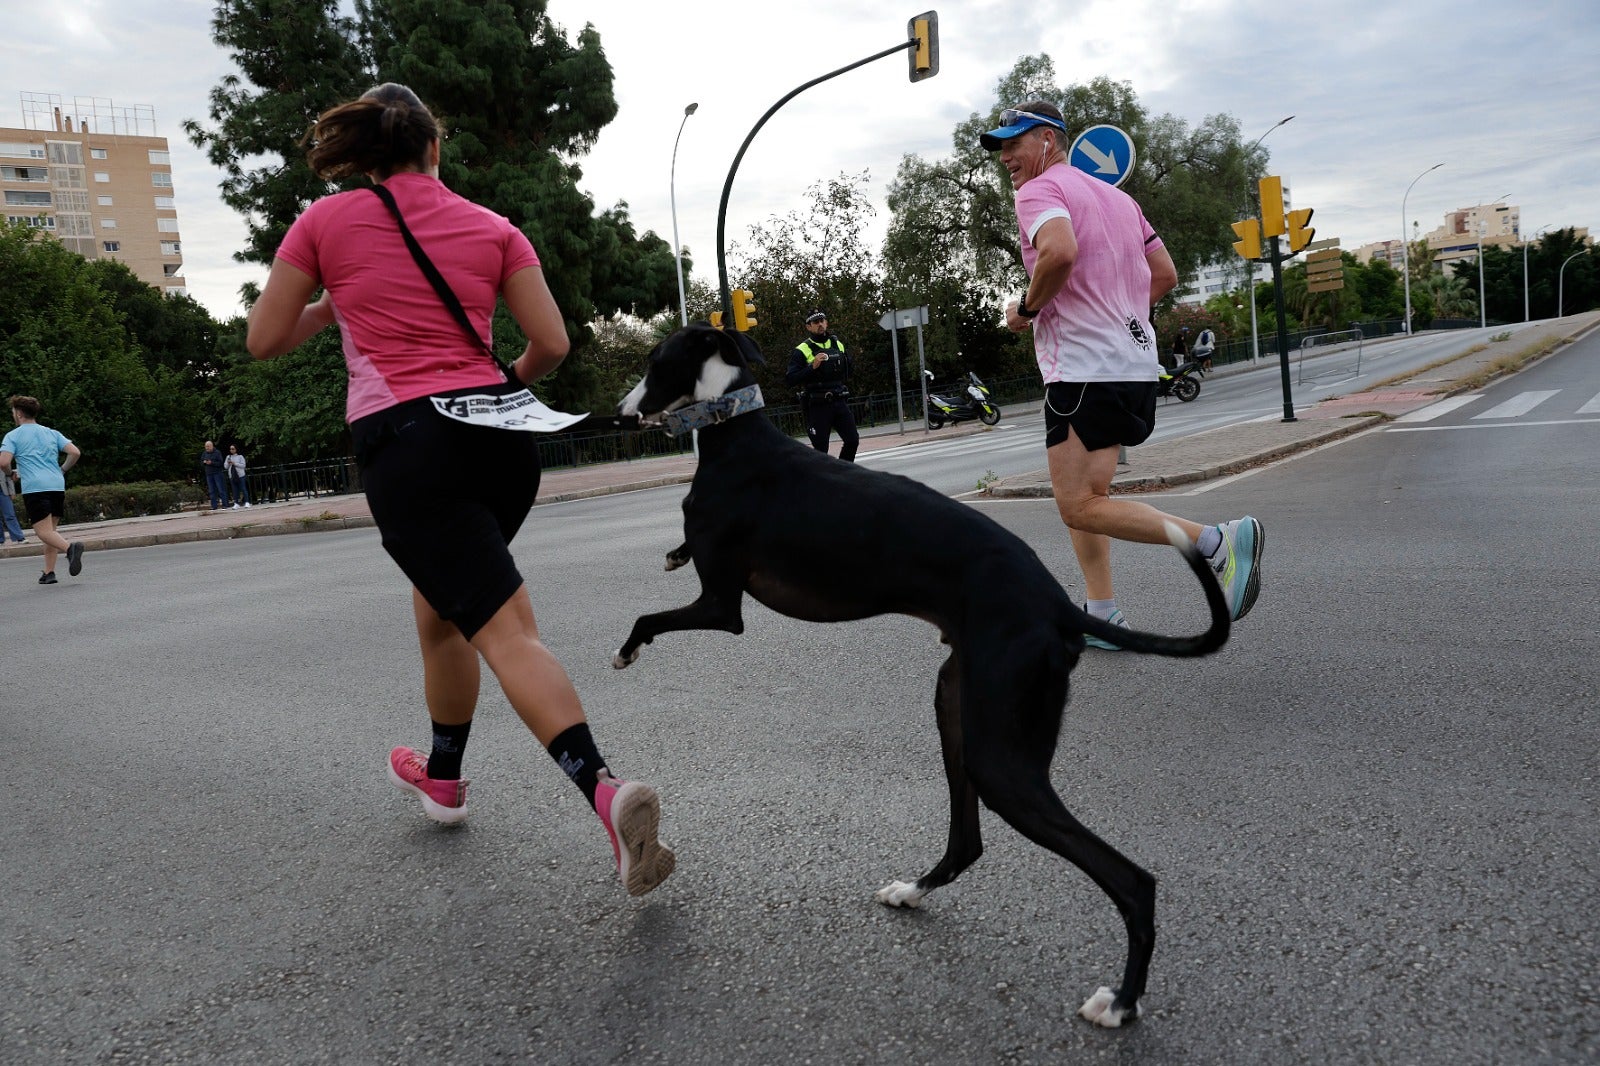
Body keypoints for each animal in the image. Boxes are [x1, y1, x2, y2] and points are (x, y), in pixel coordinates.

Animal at [617, 321, 1228, 1024]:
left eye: (654, 363)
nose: (621, 412)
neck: (732, 433)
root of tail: (1056, 606)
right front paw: (669, 554)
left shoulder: (721, 607)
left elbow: (647, 616)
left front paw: (626, 649)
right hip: (956, 710)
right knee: (968, 843)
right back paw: (911, 890)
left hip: (1001, 759)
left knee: (1132, 880)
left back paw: (1120, 1002)